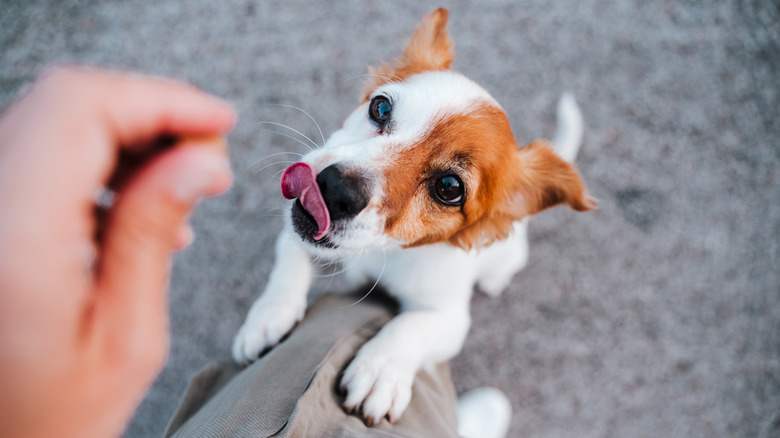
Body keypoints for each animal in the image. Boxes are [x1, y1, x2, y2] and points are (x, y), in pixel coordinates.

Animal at [235, 6, 596, 430]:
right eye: (380, 107)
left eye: (449, 187)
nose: (335, 189)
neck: (384, 253)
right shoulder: (299, 234)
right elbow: (289, 259)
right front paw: (268, 317)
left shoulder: (451, 319)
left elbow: (412, 326)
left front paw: (380, 369)